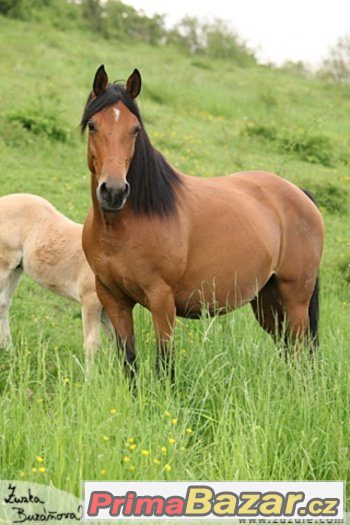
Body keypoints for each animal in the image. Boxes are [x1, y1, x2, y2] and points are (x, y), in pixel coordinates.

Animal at [0, 192, 111, 368]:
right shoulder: (90, 300)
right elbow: (92, 343)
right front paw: (90, 375)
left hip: (16, 269)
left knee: (3, 304)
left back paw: (9, 350)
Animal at [80, 65, 324, 376]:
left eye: (135, 129)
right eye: (93, 125)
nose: (113, 191)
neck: (123, 227)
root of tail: (301, 195)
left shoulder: (162, 300)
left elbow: (165, 364)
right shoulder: (113, 298)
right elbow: (129, 361)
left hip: (295, 300)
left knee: (301, 352)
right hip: (267, 301)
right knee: (288, 351)